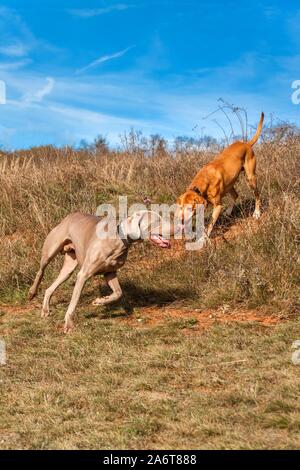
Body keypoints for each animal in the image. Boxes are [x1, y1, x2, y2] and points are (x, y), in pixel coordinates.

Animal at [29, 211, 172, 332]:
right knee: (40, 271)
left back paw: (45, 310)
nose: (174, 228)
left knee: (50, 288)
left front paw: (100, 300)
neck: (118, 239)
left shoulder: (110, 273)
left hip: (69, 267)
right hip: (50, 251)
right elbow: (74, 302)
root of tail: (69, 216)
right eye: (157, 221)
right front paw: (69, 324)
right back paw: (32, 293)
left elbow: (118, 293)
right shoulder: (83, 275)